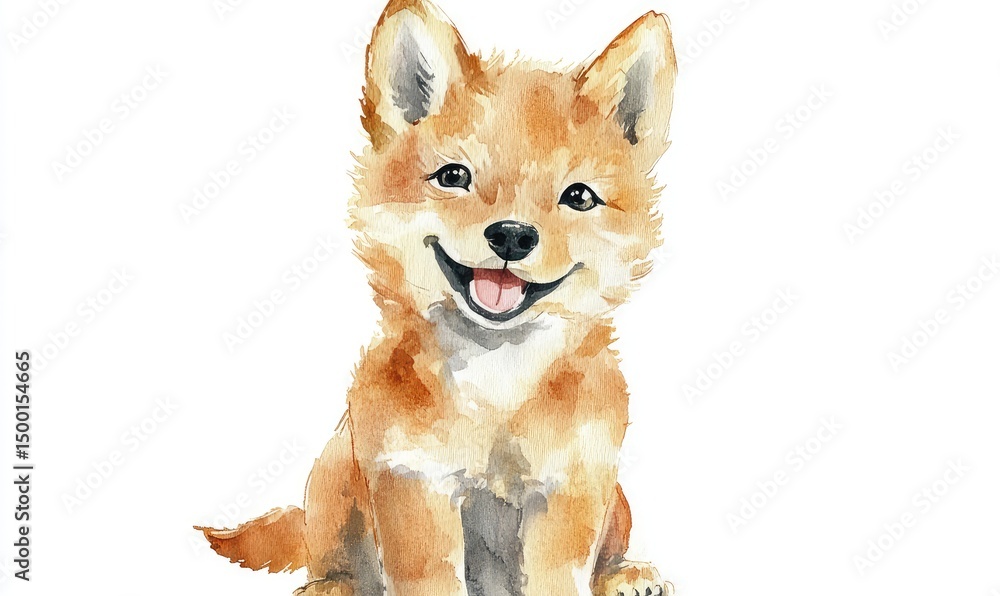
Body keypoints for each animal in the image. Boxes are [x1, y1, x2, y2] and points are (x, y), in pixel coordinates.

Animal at [197, 0, 678, 594]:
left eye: (579, 196)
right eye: (454, 176)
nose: (512, 235)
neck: (497, 378)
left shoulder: (570, 489)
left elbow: (557, 575)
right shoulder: (414, 484)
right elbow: (429, 575)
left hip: (617, 503)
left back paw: (625, 573)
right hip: (334, 476)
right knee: (327, 553)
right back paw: (331, 585)